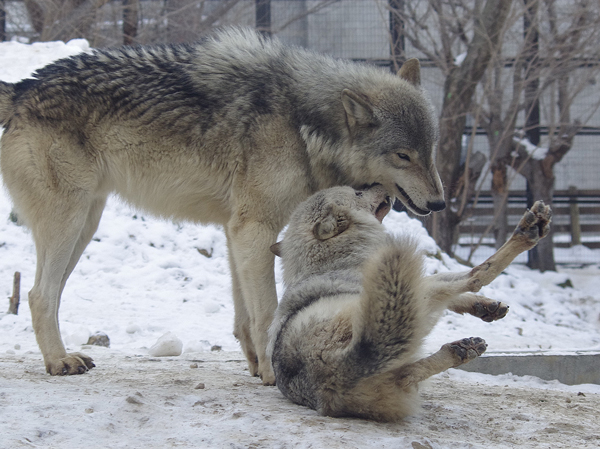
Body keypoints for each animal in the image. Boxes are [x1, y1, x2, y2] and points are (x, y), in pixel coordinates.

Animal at [0, 27, 442, 382]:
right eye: (403, 156)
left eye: (429, 150)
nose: (438, 202)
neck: (302, 123)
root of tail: (22, 86)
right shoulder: (255, 229)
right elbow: (266, 312)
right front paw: (271, 373)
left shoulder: (236, 231)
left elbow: (244, 316)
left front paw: (257, 367)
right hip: (70, 223)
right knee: (39, 295)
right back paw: (59, 362)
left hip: (85, 224)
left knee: (49, 293)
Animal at [270, 183, 552, 420]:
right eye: (358, 193)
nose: (378, 182)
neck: (335, 260)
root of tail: (333, 375)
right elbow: (463, 283)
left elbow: (456, 299)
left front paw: (486, 307)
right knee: (478, 273)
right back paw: (527, 231)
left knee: (407, 375)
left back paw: (462, 350)